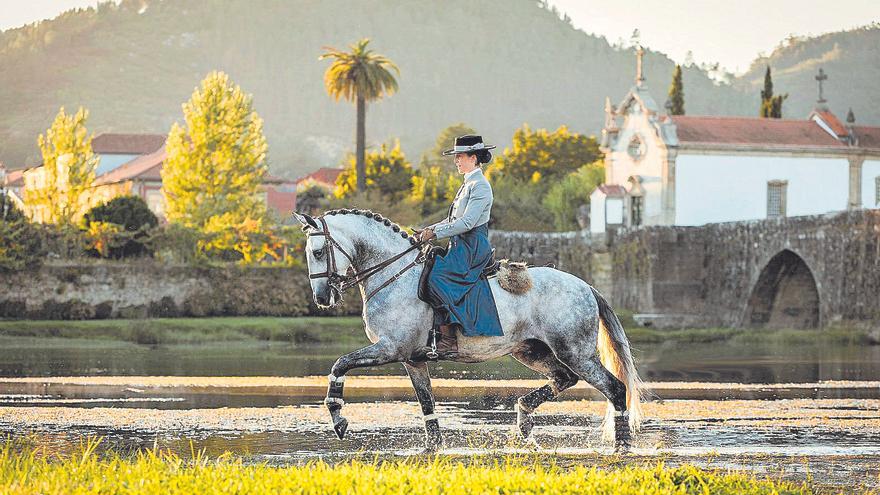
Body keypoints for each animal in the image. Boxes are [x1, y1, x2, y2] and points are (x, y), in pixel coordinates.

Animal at [292, 211, 644, 452]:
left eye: (318, 252)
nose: (322, 298)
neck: (394, 275)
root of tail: (585, 286)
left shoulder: (390, 349)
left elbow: (339, 364)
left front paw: (338, 418)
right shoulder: (412, 359)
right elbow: (427, 402)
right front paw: (433, 446)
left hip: (575, 352)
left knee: (614, 388)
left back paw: (622, 445)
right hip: (532, 350)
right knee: (563, 378)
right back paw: (524, 422)